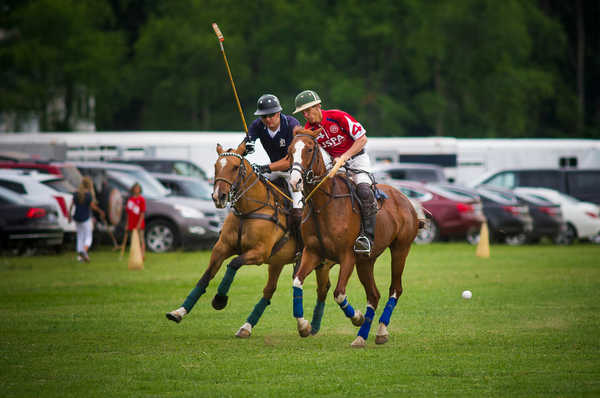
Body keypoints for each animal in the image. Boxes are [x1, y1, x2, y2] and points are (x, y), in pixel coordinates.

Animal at [164, 141, 332, 338]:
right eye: (215, 166)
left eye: (236, 167)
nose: (218, 197)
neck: (248, 210)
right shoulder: (221, 248)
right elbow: (206, 276)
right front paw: (179, 311)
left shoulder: (259, 253)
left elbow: (234, 263)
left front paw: (220, 299)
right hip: (278, 261)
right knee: (270, 290)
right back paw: (248, 326)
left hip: (322, 262)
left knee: (322, 289)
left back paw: (310, 325)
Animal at [288, 132, 420, 346]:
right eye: (289, 150)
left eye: (309, 149)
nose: (295, 181)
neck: (322, 205)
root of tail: (406, 199)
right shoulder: (312, 252)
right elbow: (297, 282)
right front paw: (304, 326)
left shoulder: (347, 256)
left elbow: (339, 293)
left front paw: (357, 317)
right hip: (366, 260)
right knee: (374, 295)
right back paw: (361, 337)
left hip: (400, 249)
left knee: (395, 289)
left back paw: (381, 331)